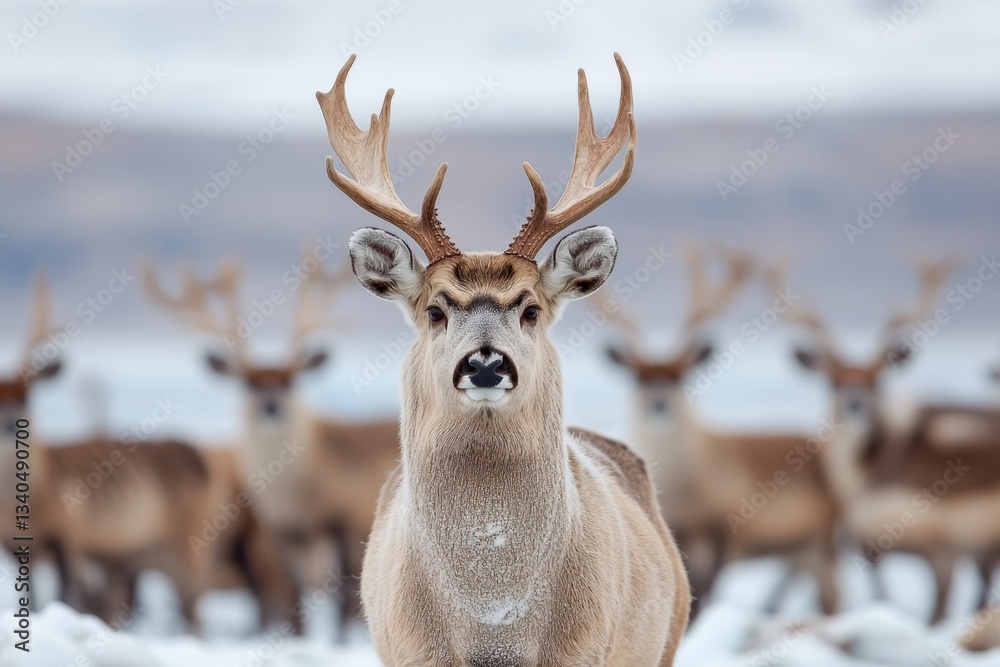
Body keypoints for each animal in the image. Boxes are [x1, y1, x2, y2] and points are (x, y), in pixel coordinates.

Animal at [143, 258, 401, 640]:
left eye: (290, 381)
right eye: (248, 382)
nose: (271, 405)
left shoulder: (349, 517)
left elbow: (346, 595)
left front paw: (341, 641)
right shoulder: (282, 532)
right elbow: (295, 597)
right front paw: (300, 637)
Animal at [316, 52, 689, 666]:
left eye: (530, 308)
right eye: (436, 309)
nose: (486, 364)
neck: (494, 622)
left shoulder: (582, 648)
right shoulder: (411, 650)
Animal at [603, 245, 840, 617]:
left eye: (680, 375)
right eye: (638, 377)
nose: (659, 404)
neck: (685, 491)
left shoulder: (726, 531)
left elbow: (703, 599)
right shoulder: (678, 532)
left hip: (825, 542)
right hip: (798, 551)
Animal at [776, 259, 1000, 623]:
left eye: (876, 380)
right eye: (833, 381)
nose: (855, 404)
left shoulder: (944, 551)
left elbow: (935, 611)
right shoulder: (880, 546)